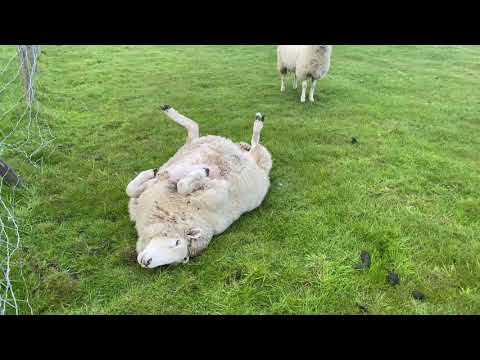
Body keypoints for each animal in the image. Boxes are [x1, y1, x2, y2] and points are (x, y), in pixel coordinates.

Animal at [125, 105, 272, 268]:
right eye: (176, 242)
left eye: (176, 260)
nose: (146, 262)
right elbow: (131, 189)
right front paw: (150, 174)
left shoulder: (215, 191)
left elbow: (182, 185)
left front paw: (201, 172)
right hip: (190, 147)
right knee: (195, 130)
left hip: (259, 160)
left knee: (256, 145)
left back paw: (258, 123)